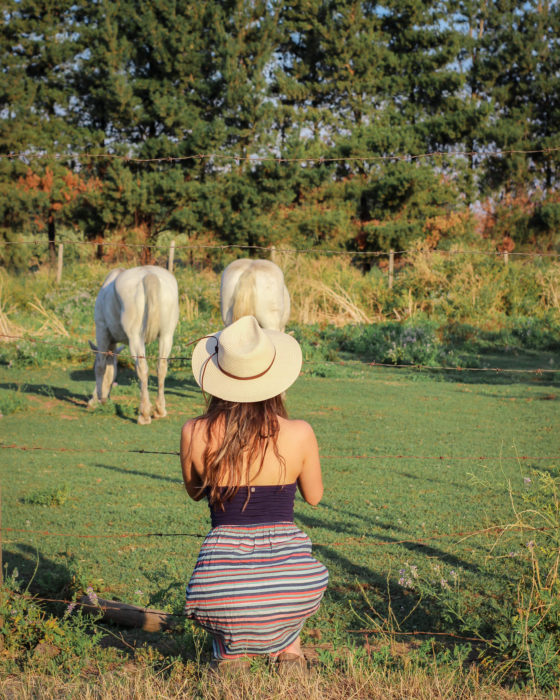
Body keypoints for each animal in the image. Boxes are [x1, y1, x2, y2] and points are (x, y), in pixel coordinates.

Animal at [88, 266, 178, 424]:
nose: (104, 398)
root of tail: (149, 275)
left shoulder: (102, 331)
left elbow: (101, 366)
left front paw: (97, 399)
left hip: (135, 338)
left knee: (142, 368)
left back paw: (144, 414)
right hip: (166, 336)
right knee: (161, 368)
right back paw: (160, 410)